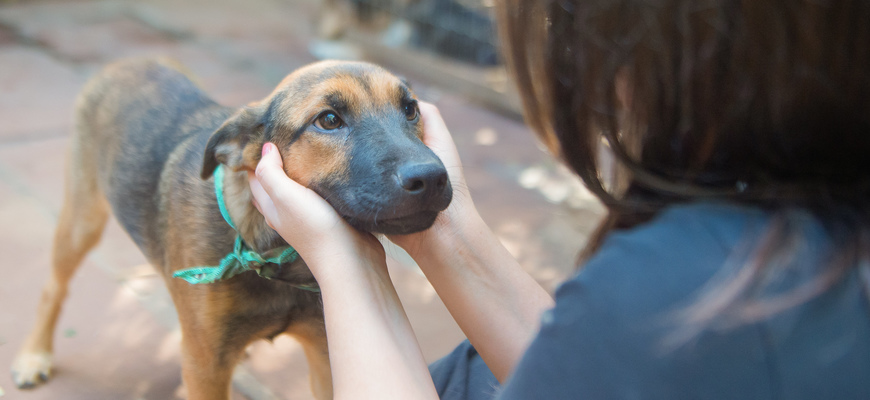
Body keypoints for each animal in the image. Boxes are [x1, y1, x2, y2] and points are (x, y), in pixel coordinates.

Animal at [10, 59, 454, 400]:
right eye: (329, 120)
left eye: (411, 109)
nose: (432, 178)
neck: (271, 252)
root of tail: (128, 62)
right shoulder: (204, 365)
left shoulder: (326, 354)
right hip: (81, 220)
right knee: (54, 287)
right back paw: (34, 356)